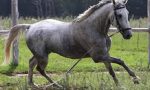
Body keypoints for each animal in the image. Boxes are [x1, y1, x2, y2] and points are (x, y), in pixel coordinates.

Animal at [4, 0, 139, 87]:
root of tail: (30, 26)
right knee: (40, 69)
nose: (129, 35)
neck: (95, 29)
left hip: (41, 54)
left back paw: (33, 84)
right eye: (119, 15)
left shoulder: (105, 55)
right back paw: (57, 85)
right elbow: (120, 61)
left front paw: (120, 85)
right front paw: (136, 79)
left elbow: (112, 71)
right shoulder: (98, 57)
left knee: (31, 63)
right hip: (43, 56)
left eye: (127, 14)